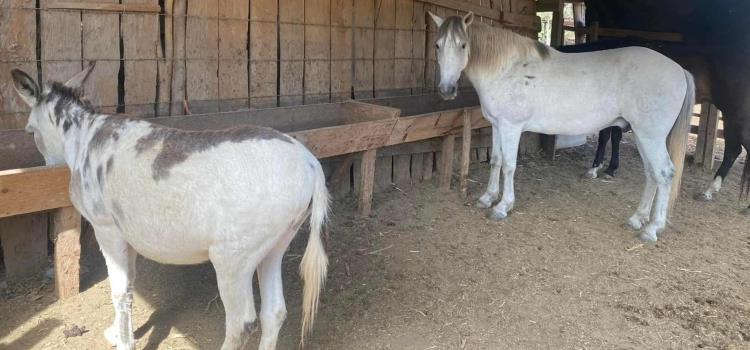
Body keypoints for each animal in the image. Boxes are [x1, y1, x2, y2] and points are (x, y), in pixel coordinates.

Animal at [11, 63, 328, 350]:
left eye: (29, 132)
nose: (49, 167)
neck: (84, 138)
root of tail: (310, 163)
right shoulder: (128, 233)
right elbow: (130, 284)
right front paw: (117, 334)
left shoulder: (106, 228)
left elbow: (119, 290)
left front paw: (123, 342)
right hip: (274, 247)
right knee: (274, 312)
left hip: (233, 258)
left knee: (241, 322)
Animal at [432, 10, 696, 241]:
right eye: (437, 45)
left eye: (463, 45)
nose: (446, 90)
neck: (508, 67)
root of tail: (680, 70)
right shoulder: (497, 126)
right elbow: (496, 161)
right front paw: (487, 198)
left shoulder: (511, 127)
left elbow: (508, 166)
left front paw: (503, 206)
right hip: (643, 136)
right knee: (652, 174)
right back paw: (637, 219)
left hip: (651, 137)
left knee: (664, 173)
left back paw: (652, 228)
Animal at [560, 37, 750, 213]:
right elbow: (614, 137)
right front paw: (610, 168)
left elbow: (605, 136)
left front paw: (596, 168)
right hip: (729, 115)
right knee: (733, 151)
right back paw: (709, 191)